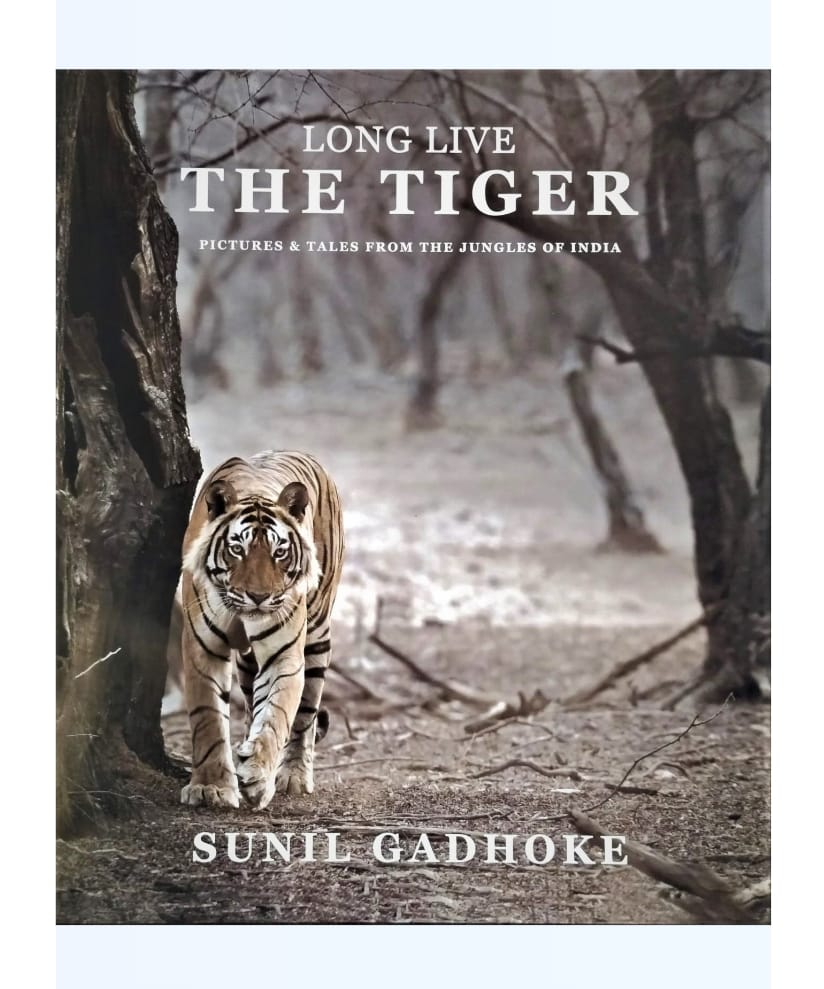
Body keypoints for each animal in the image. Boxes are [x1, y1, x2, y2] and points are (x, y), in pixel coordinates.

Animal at [178, 450, 344, 810]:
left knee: (305, 717)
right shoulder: (203, 649)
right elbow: (208, 718)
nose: (258, 597)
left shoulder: (284, 655)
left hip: (317, 638)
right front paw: (210, 787)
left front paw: (257, 775)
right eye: (237, 549)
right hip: (246, 663)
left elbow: (277, 715)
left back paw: (293, 776)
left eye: (279, 551)